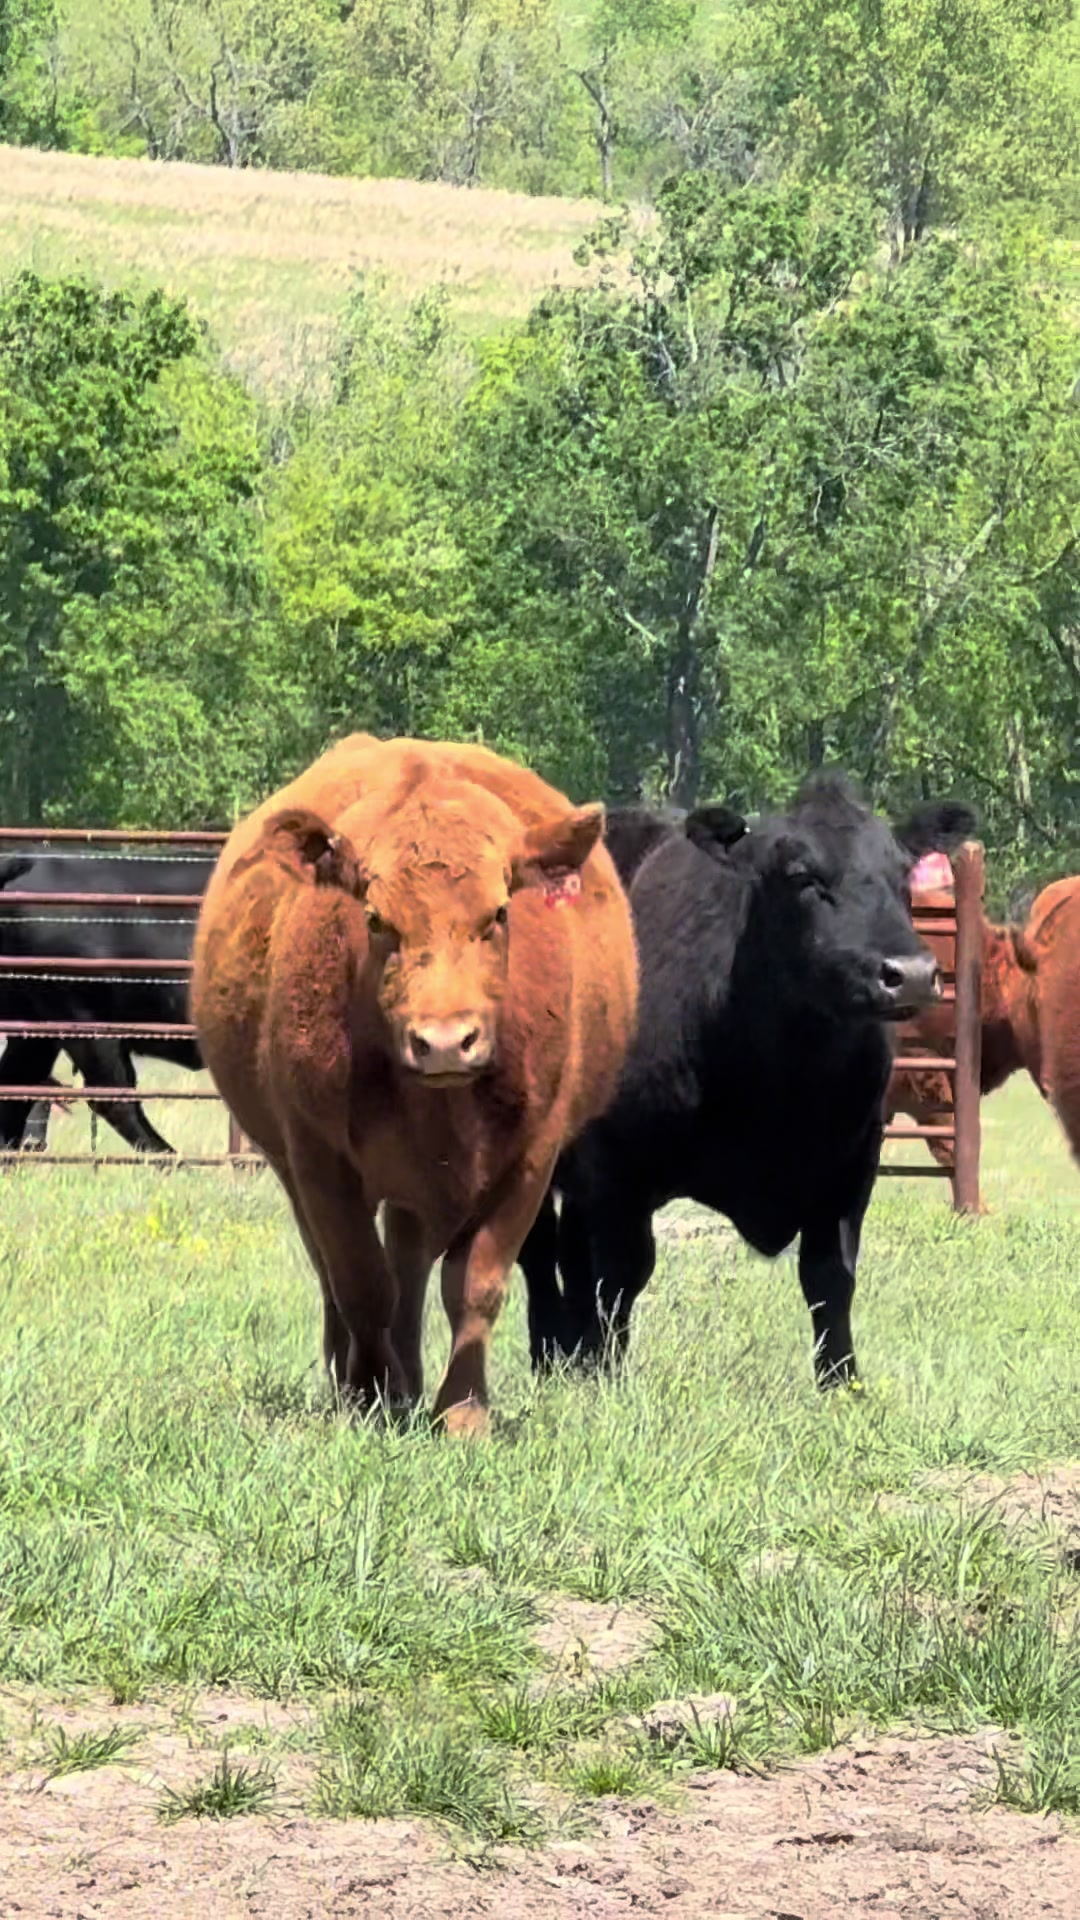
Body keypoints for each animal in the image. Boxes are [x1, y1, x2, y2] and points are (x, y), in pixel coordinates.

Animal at [190, 732, 639, 1435]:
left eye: (499, 911)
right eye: (375, 918)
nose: (446, 1040)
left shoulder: (530, 1161)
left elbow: (474, 1286)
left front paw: (462, 1411)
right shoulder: (319, 1160)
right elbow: (359, 1282)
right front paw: (370, 1393)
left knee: (408, 1263)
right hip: (295, 1167)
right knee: (341, 1277)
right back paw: (364, 1380)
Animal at [517, 776, 976, 1388]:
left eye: (903, 873)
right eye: (802, 875)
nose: (913, 974)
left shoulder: (852, 1165)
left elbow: (830, 1276)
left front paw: (842, 1382)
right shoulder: (617, 1169)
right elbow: (620, 1274)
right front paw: (608, 1374)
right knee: (541, 1251)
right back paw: (553, 1355)